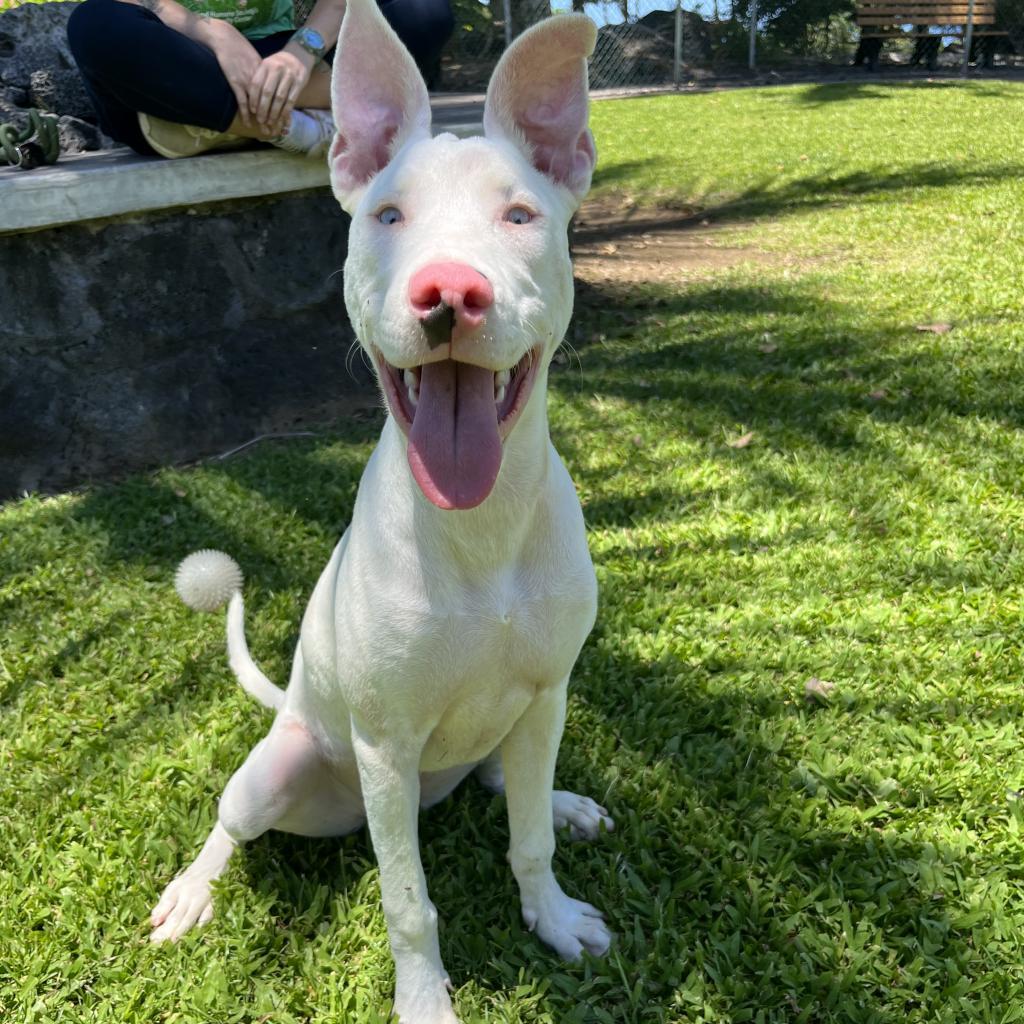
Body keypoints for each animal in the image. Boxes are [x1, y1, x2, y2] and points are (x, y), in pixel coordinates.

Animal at [149, 4, 610, 1019]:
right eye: (387, 218)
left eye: (521, 216)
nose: (450, 293)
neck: (480, 527)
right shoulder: (388, 746)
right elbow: (408, 900)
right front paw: (426, 998)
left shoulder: (548, 693)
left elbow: (526, 840)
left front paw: (554, 915)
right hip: (284, 773)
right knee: (229, 821)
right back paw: (193, 890)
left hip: (517, 728)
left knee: (502, 781)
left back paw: (562, 801)